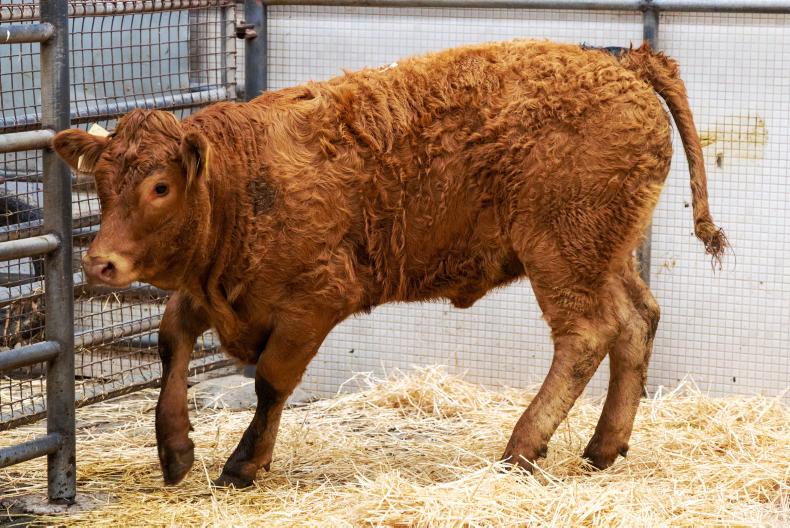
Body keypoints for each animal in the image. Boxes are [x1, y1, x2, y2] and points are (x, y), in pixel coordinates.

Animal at [52, 40, 726, 488]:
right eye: (101, 184)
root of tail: (624, 63)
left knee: (587, 335)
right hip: (604, 254)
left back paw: (523, 447)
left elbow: (271, 381)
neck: (243, 182)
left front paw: (244, 463)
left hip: (563, 253)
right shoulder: (216, 290)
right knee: (637, 320)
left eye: (160, 187)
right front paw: (174, 450)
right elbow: (171, 340)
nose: (100, 263)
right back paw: (603, 446)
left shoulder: (314, 301)